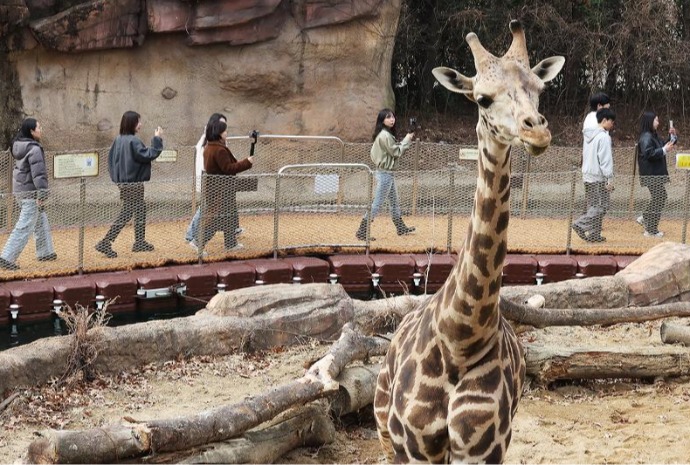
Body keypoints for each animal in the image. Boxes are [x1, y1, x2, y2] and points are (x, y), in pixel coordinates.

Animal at [374, 20, 560, 460]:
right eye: (482, 98)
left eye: (539, 89)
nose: (537, 131)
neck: (461, 337)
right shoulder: (414, 448)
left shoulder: (483, 450)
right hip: (384, 433)